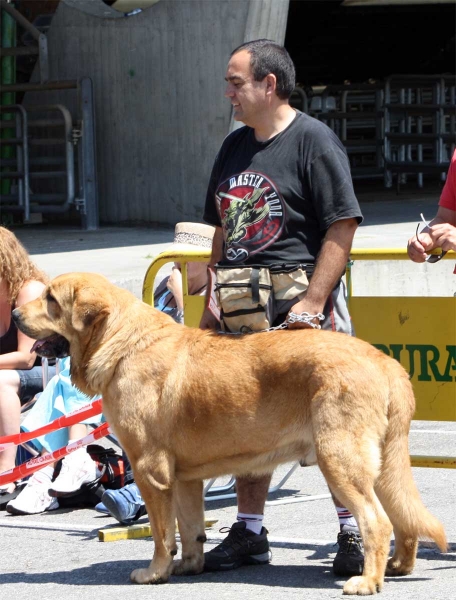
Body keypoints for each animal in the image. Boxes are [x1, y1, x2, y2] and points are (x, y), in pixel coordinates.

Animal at [12, 274, 448, 596]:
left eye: (50, 299)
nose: (14, 313)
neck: (121, 342)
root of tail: (384, 360)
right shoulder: (184, 478)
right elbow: (189, 529)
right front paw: (189, 566)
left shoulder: (150, 471)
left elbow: (160, 533)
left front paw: (154, 573)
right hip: (381, 465)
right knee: (402, 518)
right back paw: (398, 566)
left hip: (339, 460)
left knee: (377, 521)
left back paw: (367, 581)